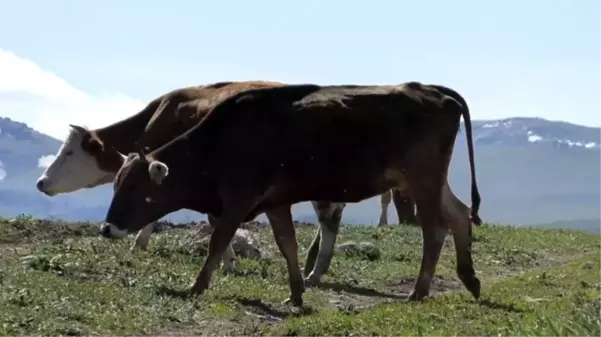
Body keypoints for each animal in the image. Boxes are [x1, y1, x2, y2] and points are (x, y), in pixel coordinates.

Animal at [99, 81, 482, 308]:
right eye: (116, 184)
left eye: (134, 187)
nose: (106, 228)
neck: (221, 142)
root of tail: (432, 91)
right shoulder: (275, 201)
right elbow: (288, 244)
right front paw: (297, 292)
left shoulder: (238, 199)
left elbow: (218, 242)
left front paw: (197, 286)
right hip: (427, 179)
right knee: (459, 213)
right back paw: (470, 278)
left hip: (422, 177)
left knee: (435, 228)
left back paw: (420, 290)